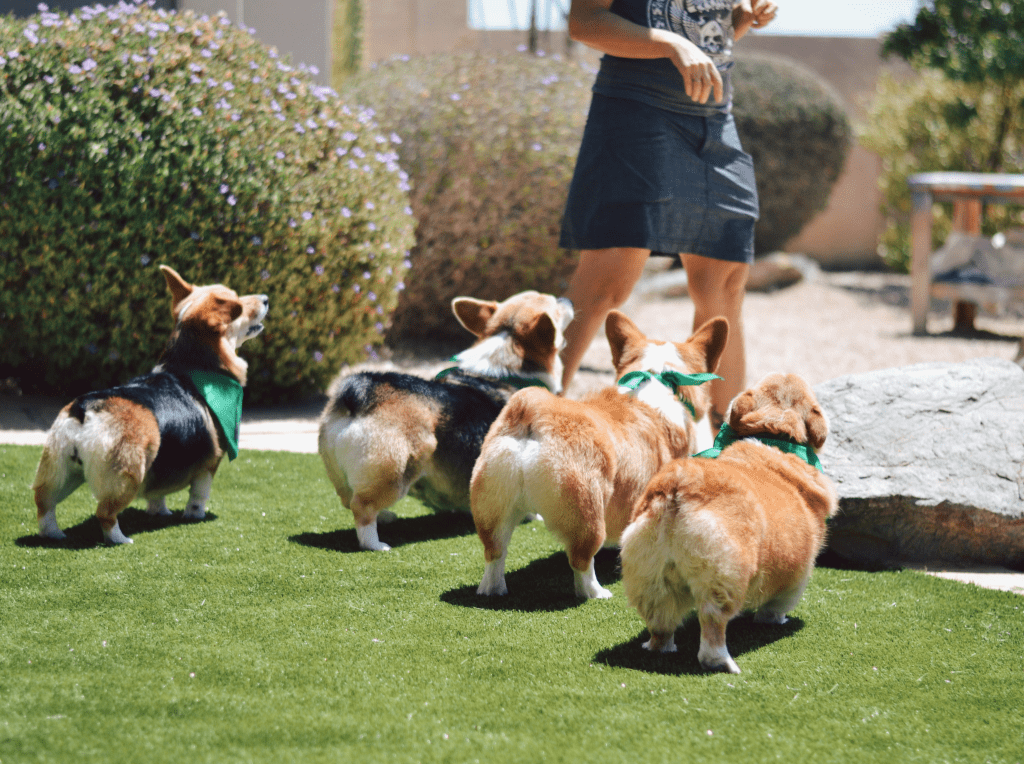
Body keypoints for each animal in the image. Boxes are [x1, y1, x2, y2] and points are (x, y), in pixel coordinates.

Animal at [33, 264, 268, 544]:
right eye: (238, 304)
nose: (266, 298)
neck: (193, 363)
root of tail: (86, 410)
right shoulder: (211, 463)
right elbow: (199, 495)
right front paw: (194, 516)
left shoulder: (163, 463)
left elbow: (158, 493)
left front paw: (160, 512)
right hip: (128, 474)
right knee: (105, 513)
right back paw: (121, 539)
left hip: (59, 471)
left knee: (44, 505)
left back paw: (55, 535)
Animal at [317, 290, 577, 548]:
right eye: (554, 304)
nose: (568, 299)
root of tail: (361, 390)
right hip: (397, 470)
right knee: (362, 508)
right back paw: (376, 544)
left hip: (339, 469)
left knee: (348, 498)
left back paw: (386, 517)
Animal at [471, 309, 729, 593]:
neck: (657, 376)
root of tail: (534, 410)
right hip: (588, 512)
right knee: (581, 561)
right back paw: (597, 592)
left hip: (493, 504)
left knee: (495, 553)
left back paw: (492, 590)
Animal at [618, 372, 835, 667]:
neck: (775, 433)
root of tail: (679, 485)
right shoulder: (796, 577)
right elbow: (775, 606)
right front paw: (774, 621)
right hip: (723, 576)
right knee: (712, 627)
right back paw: (723, 662)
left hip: (651, 576)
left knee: (661, 622)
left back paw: (660, 648)